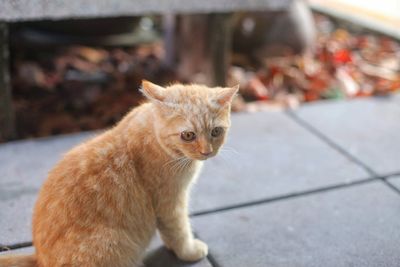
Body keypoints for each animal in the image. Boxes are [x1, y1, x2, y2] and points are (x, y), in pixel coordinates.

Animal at [0, 81, 238, 267]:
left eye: (216, 132)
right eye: (188, 135)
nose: (207, 152)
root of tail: (39, 258)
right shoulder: (169, 204)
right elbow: (178, 231)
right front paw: (188, 252)